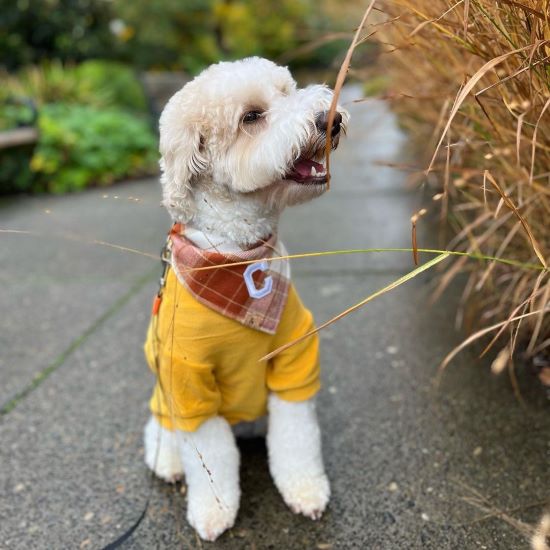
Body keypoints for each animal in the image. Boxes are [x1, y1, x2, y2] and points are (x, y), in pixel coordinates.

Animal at [142, 57, 350, 544]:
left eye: (287, 90)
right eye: (251, 117)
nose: (330, 119)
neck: (238, 258)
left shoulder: (292, 357)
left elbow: (296, 438)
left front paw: (304, 490)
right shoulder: (188, 383)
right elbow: (210, 458)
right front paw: (215, 510)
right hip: (165, 403)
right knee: (161, 435)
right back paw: (169, 463)